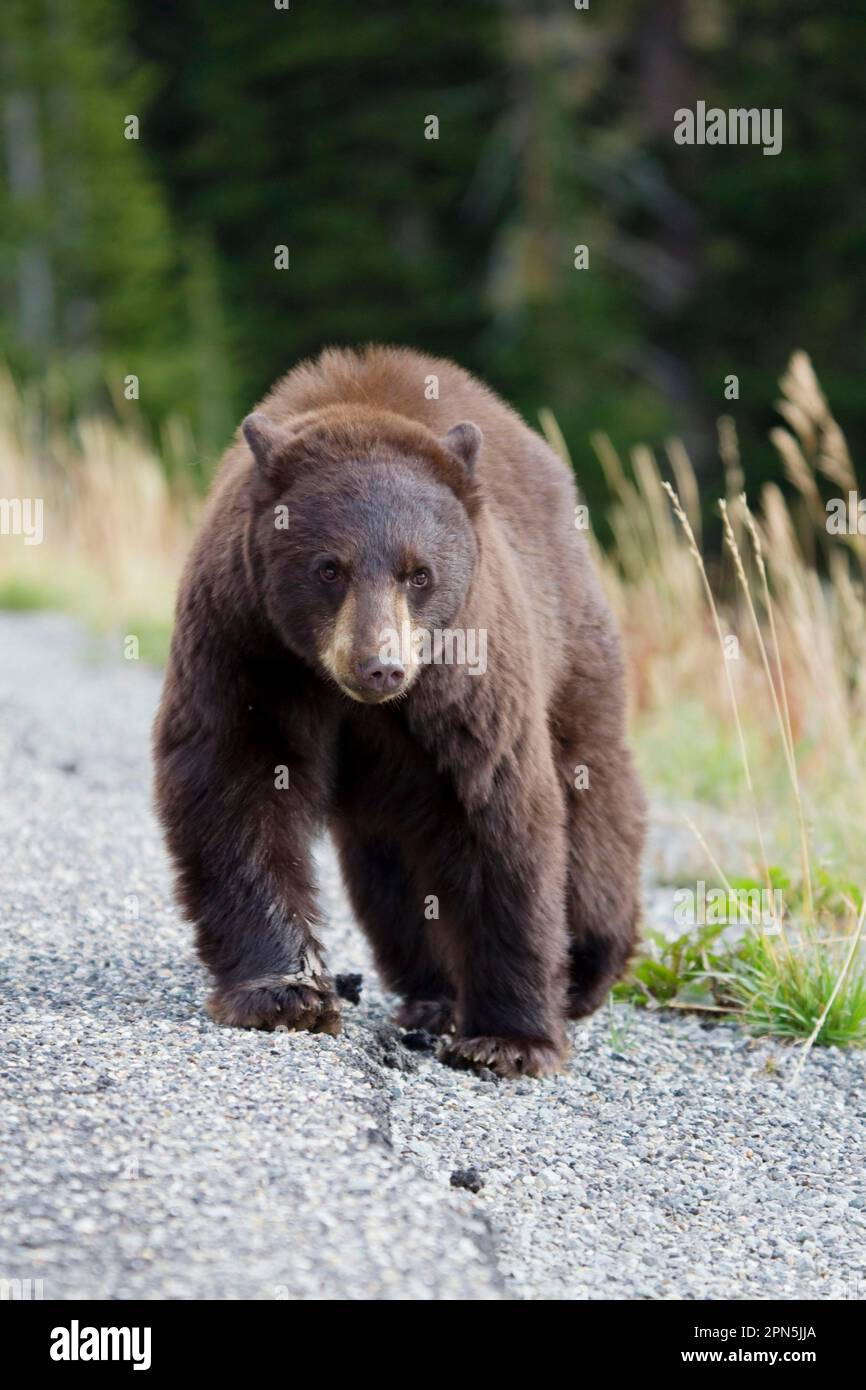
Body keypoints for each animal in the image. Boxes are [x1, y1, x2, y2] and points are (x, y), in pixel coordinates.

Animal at [153, 345, 646, 1078]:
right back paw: (433, 993)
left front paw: (509, 1039)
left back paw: (586, 968)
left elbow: (496, 813)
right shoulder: (245, 641)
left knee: (593, 800)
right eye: (329, 568)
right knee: (391, 869)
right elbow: (233, 780)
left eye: (420, 574)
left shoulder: (466, 678)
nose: (379, 665)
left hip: (573, 644)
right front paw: (284, 992)